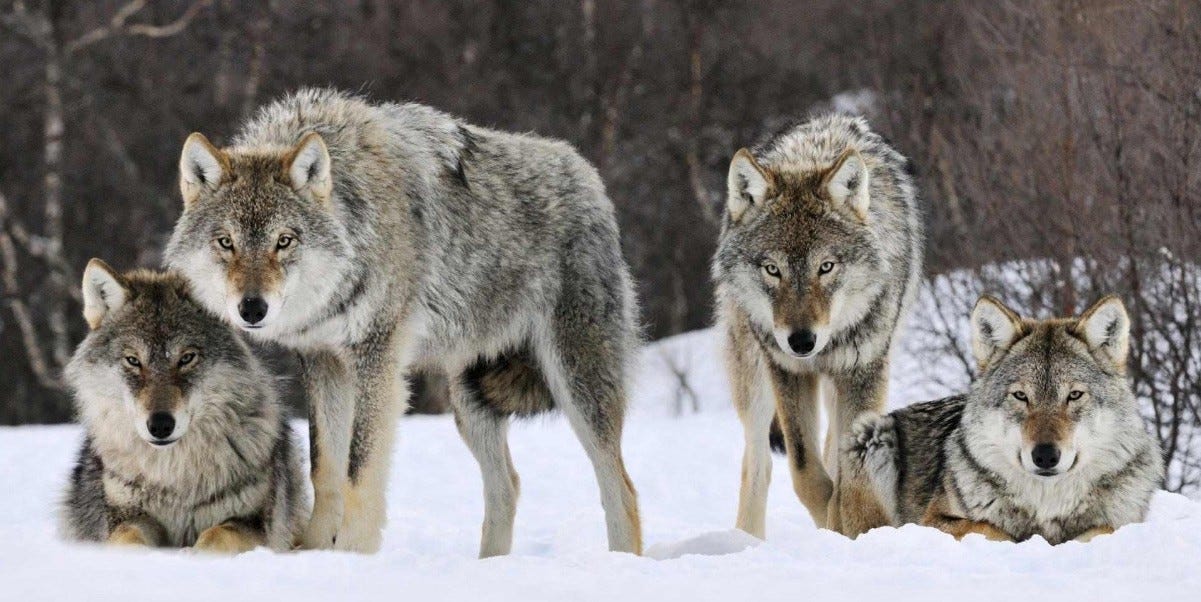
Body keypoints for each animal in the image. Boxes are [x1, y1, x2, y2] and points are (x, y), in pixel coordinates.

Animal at [60, 260, 308, 553]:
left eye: (187, 358)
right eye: (133, 361)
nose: (160, 425)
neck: (174, 477)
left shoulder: (254, 524)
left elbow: (216, 535)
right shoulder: (127, 516)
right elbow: (127, 538)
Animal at [164, 89, 642, 556]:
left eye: (284, 241)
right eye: (226, 242)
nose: (252, 309)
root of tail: (588, 175)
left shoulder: (378, 359)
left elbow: (359, 470)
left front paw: (352, 555)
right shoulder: (323, 362)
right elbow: (325, 469)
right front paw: (315, 552)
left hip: (576, 385)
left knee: (621, 488)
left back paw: (622, 560)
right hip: (469, 400)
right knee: (508, 485)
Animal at [713, 114, 923, 538]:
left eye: (826, 267)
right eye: (772, 269)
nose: (801, 341)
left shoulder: (864, 371)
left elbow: (846, 473)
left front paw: (848, 526)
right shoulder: (788, 371)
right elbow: (805, 471)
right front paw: (831, 520)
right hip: (754, 379)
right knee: (758, 464)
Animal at [841, 295, 1164, 543]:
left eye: (1074, 395)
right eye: (1020, 396)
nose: (1045, 456)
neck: (1047, 505)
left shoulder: (1122, 523)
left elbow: (1102, 529)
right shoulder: (933, 520)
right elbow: (990, 528)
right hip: (871, 435)